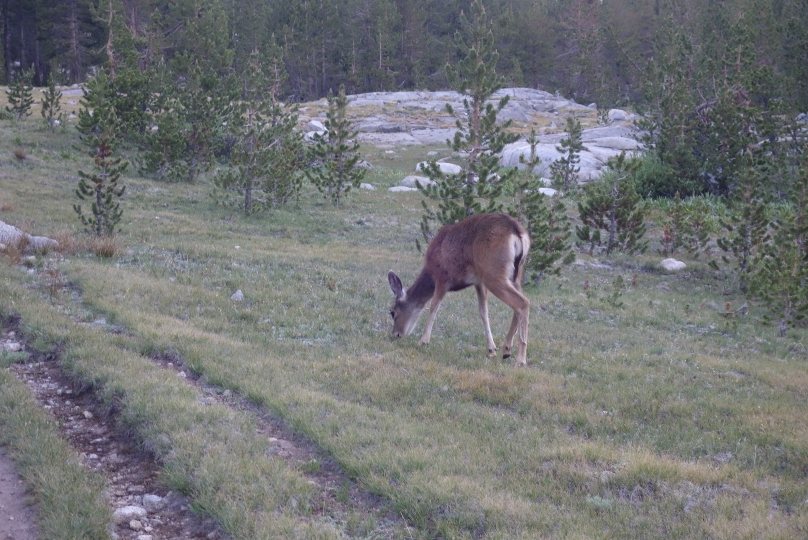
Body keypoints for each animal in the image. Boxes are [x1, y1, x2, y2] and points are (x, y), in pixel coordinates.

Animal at [390, 213, 532, 364]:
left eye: (392, 312)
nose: (395, 334)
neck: (430, 272)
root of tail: (517, 232)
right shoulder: (478, 282)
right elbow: (483, 312)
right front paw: (491, 349)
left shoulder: (442, 277)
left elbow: (433, 306)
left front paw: (423, 341)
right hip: (515, 274)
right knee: (518, 305)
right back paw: (506, 350)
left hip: (493, 273)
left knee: (523, 303)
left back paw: (520, 360)